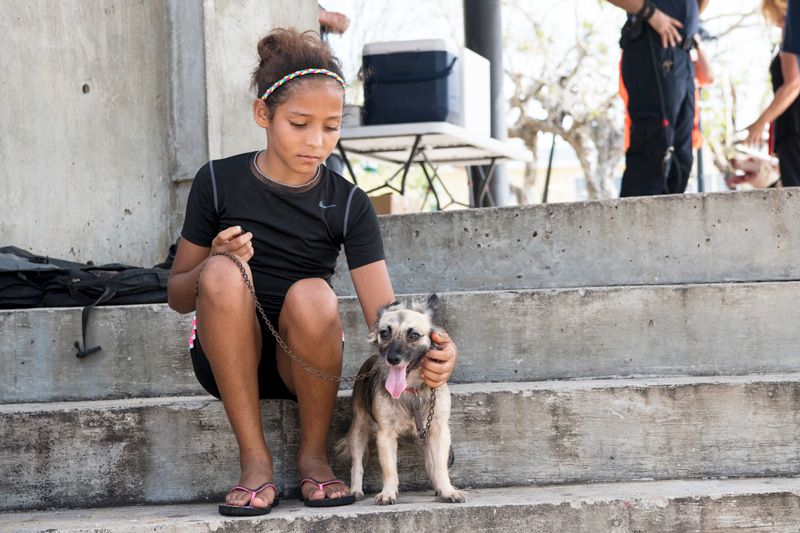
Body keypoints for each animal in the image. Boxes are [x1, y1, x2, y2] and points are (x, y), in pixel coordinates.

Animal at [336, 296, 462, 502]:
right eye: (384, 333)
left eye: (414, 335)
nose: (393, 358)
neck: (411, 391)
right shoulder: (385, 434)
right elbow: (389, 470)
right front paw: (387, 493)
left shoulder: (438, 430)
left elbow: (440, 466)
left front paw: (447, 490)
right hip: (358, 429)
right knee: (357, 465)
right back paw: (355, 490)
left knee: (431, 464)